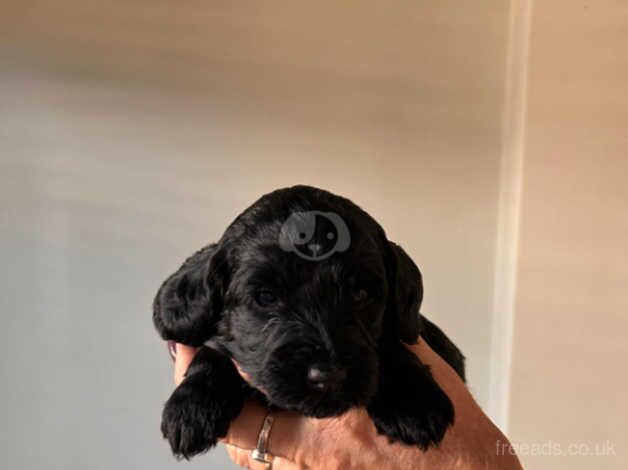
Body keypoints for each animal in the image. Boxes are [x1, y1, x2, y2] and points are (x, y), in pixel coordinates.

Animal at [154, 185, 464, 458]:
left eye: (361, 294)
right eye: (266, 296)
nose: (328, 376)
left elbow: (393, 347)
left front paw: (413, 404)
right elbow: (213, 350)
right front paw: (191, 408)